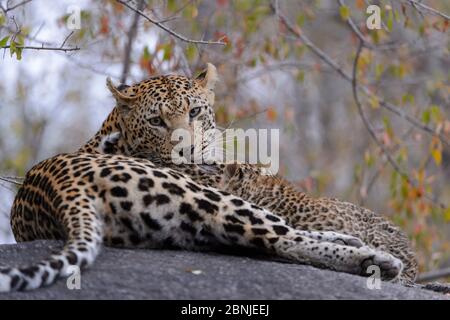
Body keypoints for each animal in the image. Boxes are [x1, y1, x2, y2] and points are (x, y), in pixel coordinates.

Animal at [0, 63, 404, 292]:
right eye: (156, 121)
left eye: (194, 112)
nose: (189, 151)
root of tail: (63, 188)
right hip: (200, 199)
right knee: (282, 238)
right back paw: (375, 261)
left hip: (184, 226)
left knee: (273, 237)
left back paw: (353, 243)